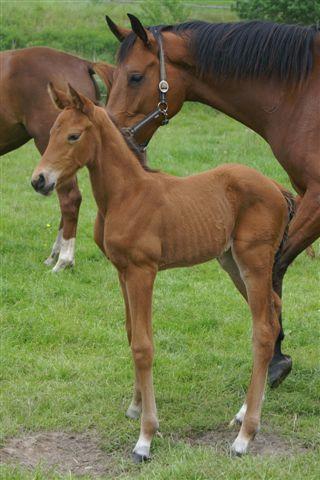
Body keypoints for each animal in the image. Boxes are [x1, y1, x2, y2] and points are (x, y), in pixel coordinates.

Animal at [32, 85, 296, 462]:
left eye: (73, 135)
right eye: (52, 131)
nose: (39, 180)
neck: (126, 194)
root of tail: (276, 186)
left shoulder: (143, 271)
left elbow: (144, 345)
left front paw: (146, 436)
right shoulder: (122, 271)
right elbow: (131, 334)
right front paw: (135, 406)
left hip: (255, 261)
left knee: (262, 330)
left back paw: (245, 436)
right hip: (232, 262)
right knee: (273, 312)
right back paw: (243, 411)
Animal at [105, 15, 320, 388]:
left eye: (134, 76)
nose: (116, 137)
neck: (301, 96)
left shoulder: (317, 198)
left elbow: (274, 270)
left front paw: (276, 358)